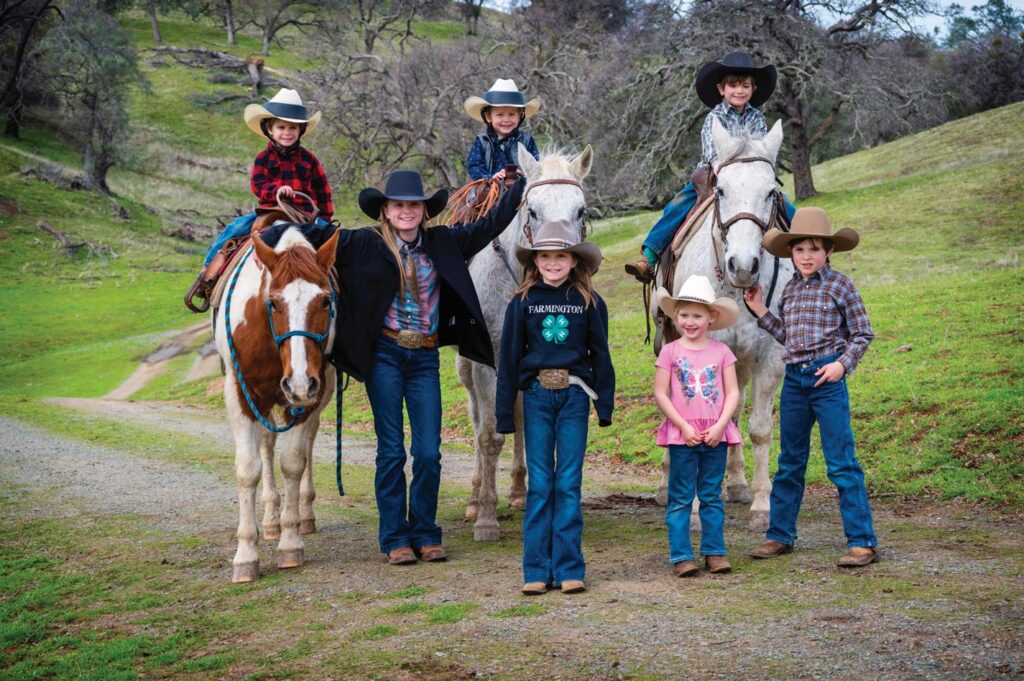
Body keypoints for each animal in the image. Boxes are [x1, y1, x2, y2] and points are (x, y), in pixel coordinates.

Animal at [212, 225, 337, 581]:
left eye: (325, 300)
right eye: (273, 303)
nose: (299, 382)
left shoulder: (311, 393)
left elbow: (294, 461)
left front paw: (291, 543)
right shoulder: (240, 394)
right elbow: (248, 469)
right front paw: (245, 556)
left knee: (306, 444)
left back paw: (303, 515)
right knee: (266, 445)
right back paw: (269, 521)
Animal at [460, 144, 598, 540]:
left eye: (580, 210)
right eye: (532, 210)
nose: (562, 262)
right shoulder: (486, 365)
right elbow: (489, 435)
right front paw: (486, 518)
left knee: (519, 414)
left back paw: (520, 490)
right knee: (477, 417)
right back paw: (475, 496)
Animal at [651, 119, 786, 528]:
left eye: (770, 191)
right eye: (721, 189)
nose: (742, 265)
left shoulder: (770, 356)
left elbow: (758, 428)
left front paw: (762, 504)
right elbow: (688, 419)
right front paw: (691, 509)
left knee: (734, 414)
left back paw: (738, 486)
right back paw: (666, 488)